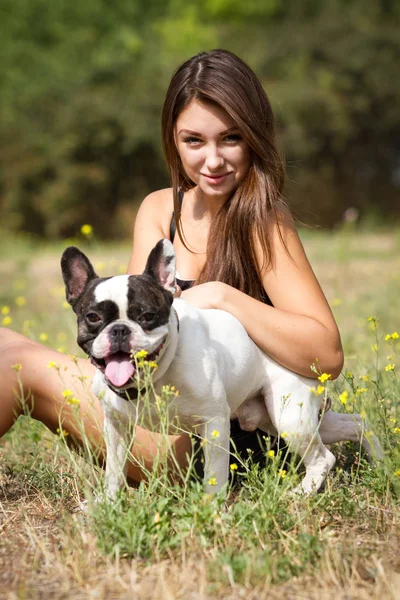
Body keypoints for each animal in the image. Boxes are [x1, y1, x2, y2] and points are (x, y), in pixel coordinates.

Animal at [61, 237, 382, 500]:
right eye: (92, 317)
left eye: (147, 316)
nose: (119, 330)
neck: (153, 378)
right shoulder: (116, 427)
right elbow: (114, 471)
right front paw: (108, 504)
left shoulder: (213, 421)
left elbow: (214, 475)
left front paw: (212, 509)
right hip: (283, 417)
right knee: (356, 424)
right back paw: (380, 461)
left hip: (290, 416)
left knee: (322, 457)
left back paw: (302, 492)